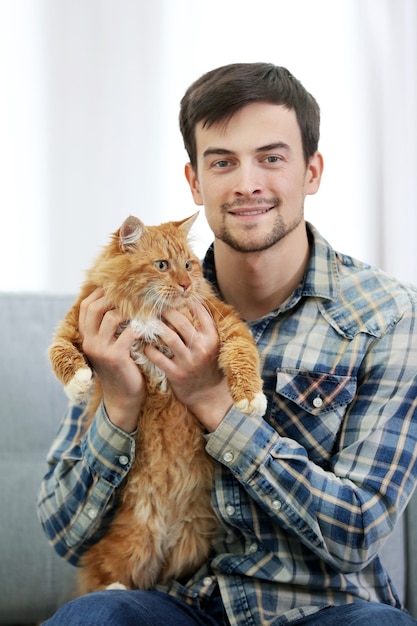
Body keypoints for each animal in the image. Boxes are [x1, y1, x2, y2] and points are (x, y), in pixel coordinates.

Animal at [48, 212, 264, 592]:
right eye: (162, 265)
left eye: (188, 265)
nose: (186, 285)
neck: (151, 312)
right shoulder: (81, 314)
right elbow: (59, 346)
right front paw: (78, 383)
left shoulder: (223, 319)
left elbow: (242, 353)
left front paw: (252, 398)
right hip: (131, 541)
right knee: (103, 576)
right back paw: (115, 589)